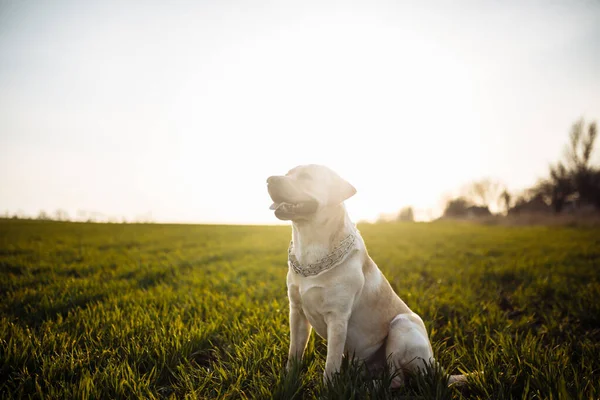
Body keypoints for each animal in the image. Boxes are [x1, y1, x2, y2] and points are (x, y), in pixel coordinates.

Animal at [268, 163, 468, 388]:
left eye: (306, 177)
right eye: (287, 174)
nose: (269, 179)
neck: (310, 252)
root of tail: (437, 366)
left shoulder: (337, 317)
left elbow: (331, 363)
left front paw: (327, 389)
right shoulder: (297, 312)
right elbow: (294, 355)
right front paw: (288, 382)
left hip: (401, 324)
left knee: (398, 380)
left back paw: (368, 387)